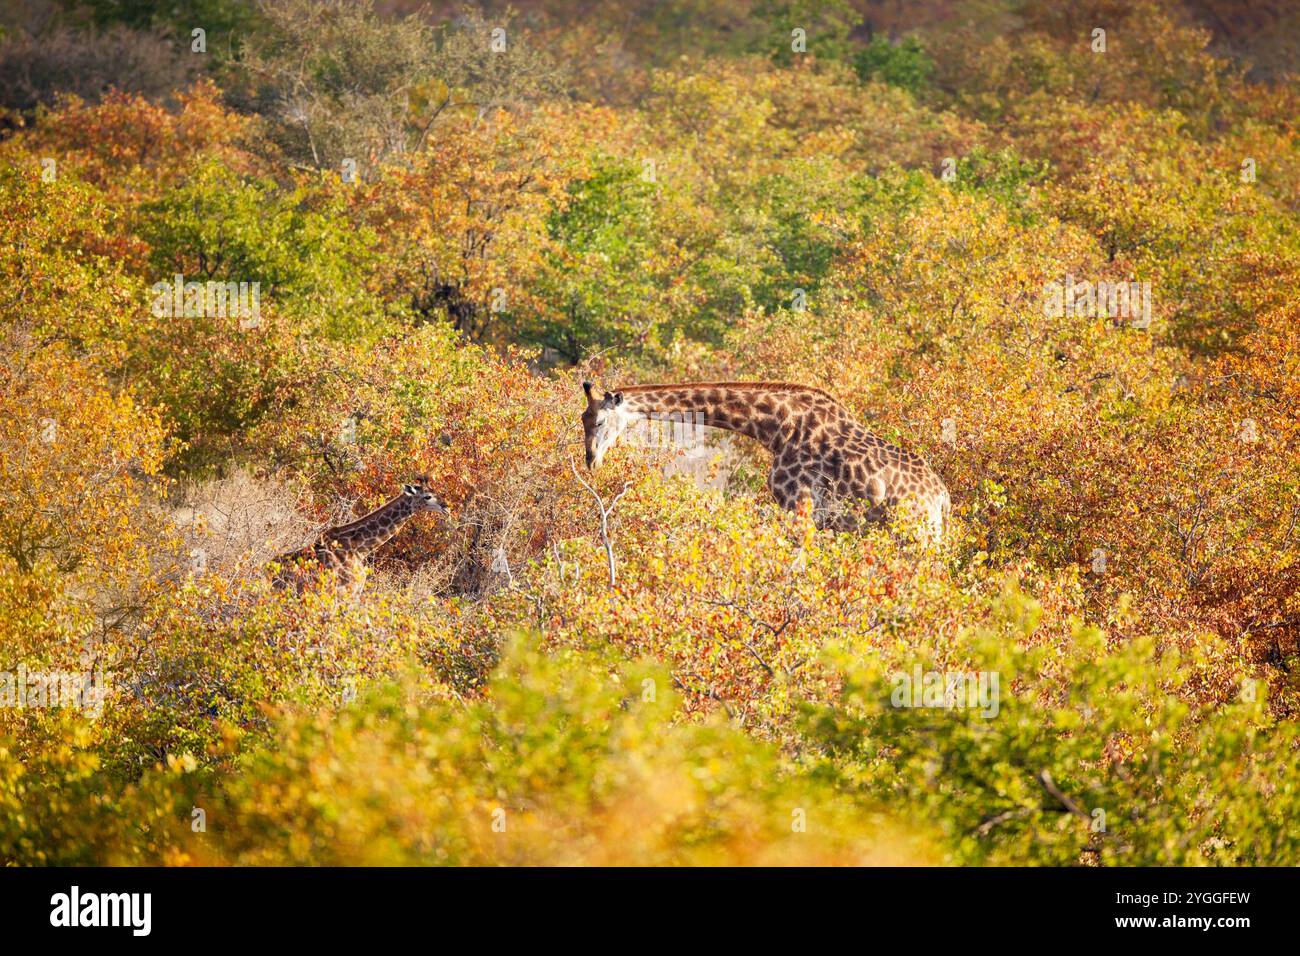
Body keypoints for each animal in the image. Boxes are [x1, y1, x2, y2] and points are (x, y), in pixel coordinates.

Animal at [581, 381, 951, 541]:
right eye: (582, 419)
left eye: (599, 422)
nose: (591, 461)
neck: (776, 426)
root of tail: (942, 497)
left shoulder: (800, 508)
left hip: (917, 535)